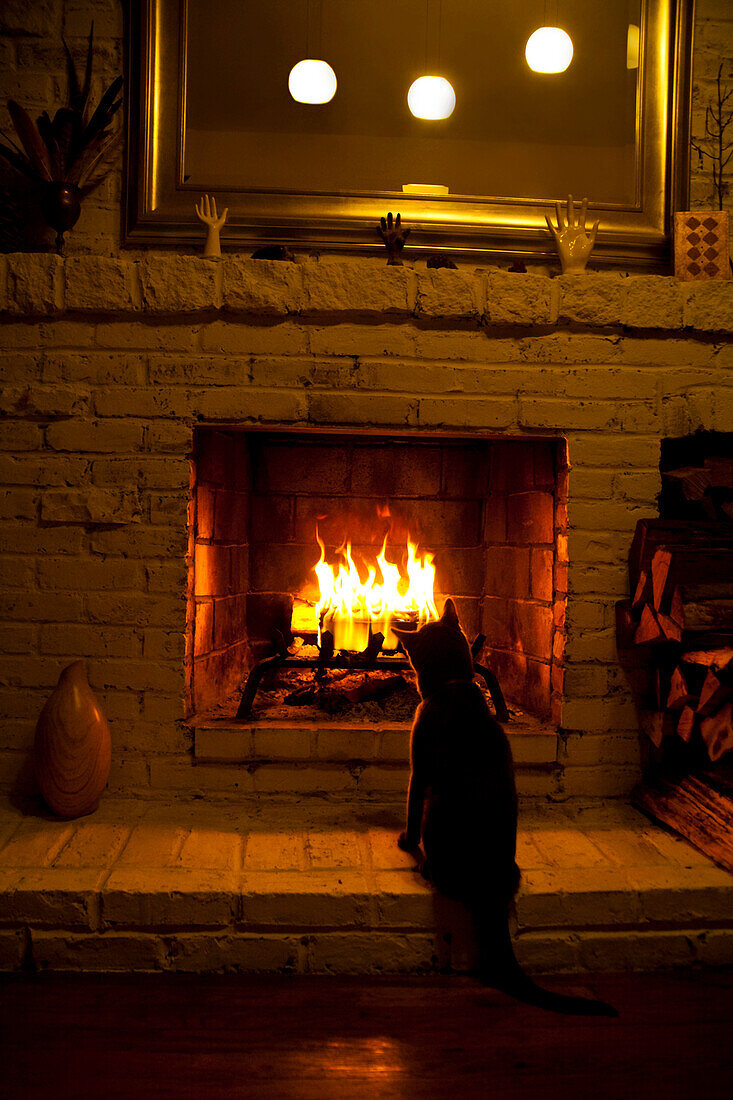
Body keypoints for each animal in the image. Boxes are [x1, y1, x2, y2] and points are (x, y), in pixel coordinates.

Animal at [391, 598, 611, 1016]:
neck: (454, 686)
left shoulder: (418, 769)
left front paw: (404, 842)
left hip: (435, 807)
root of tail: (491, 888)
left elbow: (408, 809)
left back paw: (424, 866)